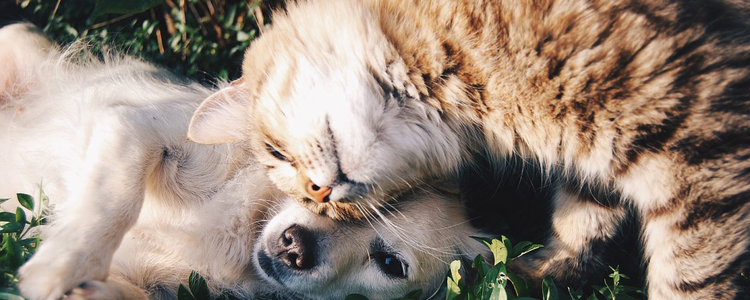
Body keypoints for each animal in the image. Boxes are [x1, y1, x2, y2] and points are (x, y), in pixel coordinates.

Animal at [0, 22, 490, 300]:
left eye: (391, 265)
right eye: (318, 188)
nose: (295, 247)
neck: (243, 231)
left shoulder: (155, 284)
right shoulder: (137, 126)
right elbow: (113, 200)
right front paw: (59, 265)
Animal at [187, 0, 750, 298]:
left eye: (276, 153)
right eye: (310, 198)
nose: (320, 194)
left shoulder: (697, 140)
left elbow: (691, 278)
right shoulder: (602, 151)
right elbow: (583, 219)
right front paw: (538, 274)